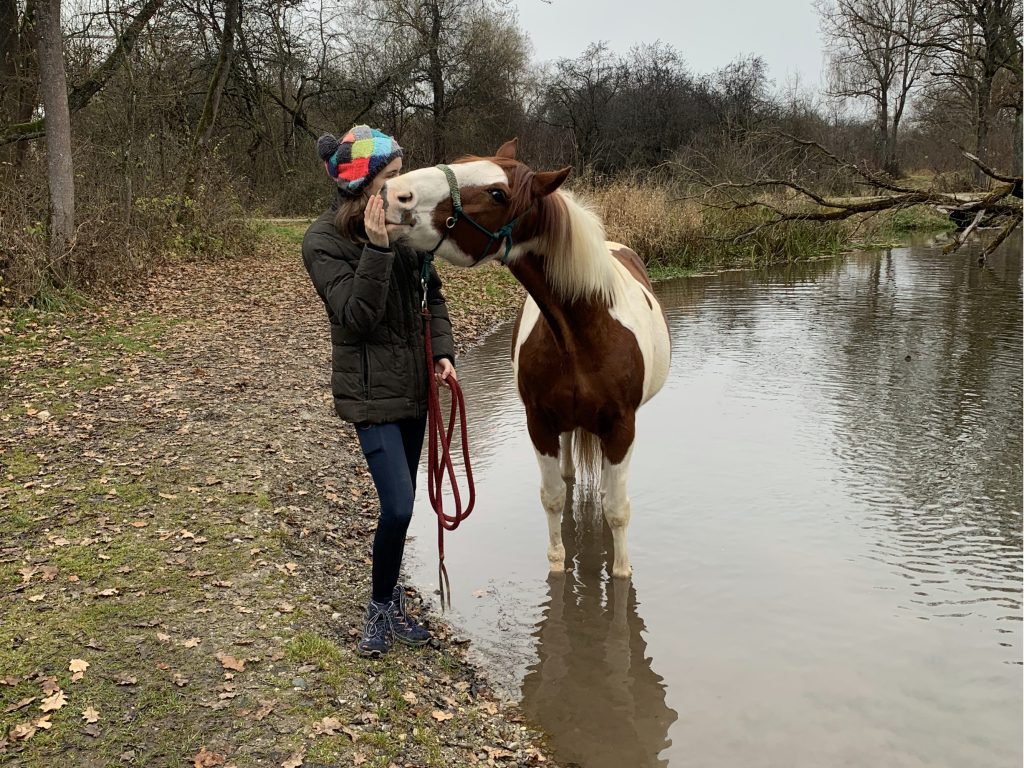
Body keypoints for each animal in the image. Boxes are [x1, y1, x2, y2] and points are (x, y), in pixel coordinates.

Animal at [383, 139, 671, 578]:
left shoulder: (621, 427)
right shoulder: (540, 423)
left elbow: (617, 510)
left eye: (497, 193)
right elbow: (553, 499)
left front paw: (621, 572)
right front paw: (557, 568)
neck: (582, 332)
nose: (394, 193)